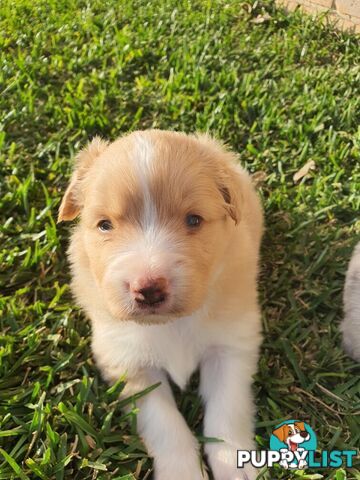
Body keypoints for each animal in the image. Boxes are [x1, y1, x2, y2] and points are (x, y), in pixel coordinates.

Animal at [57, 130, 262, 480]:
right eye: (104, 225)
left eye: (193, 220)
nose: (148, 289)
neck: (172, 324)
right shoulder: (129, 363)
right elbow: (165, 425)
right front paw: (184, 473)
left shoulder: (231, 345)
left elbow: (227, 409)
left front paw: (235, 466)